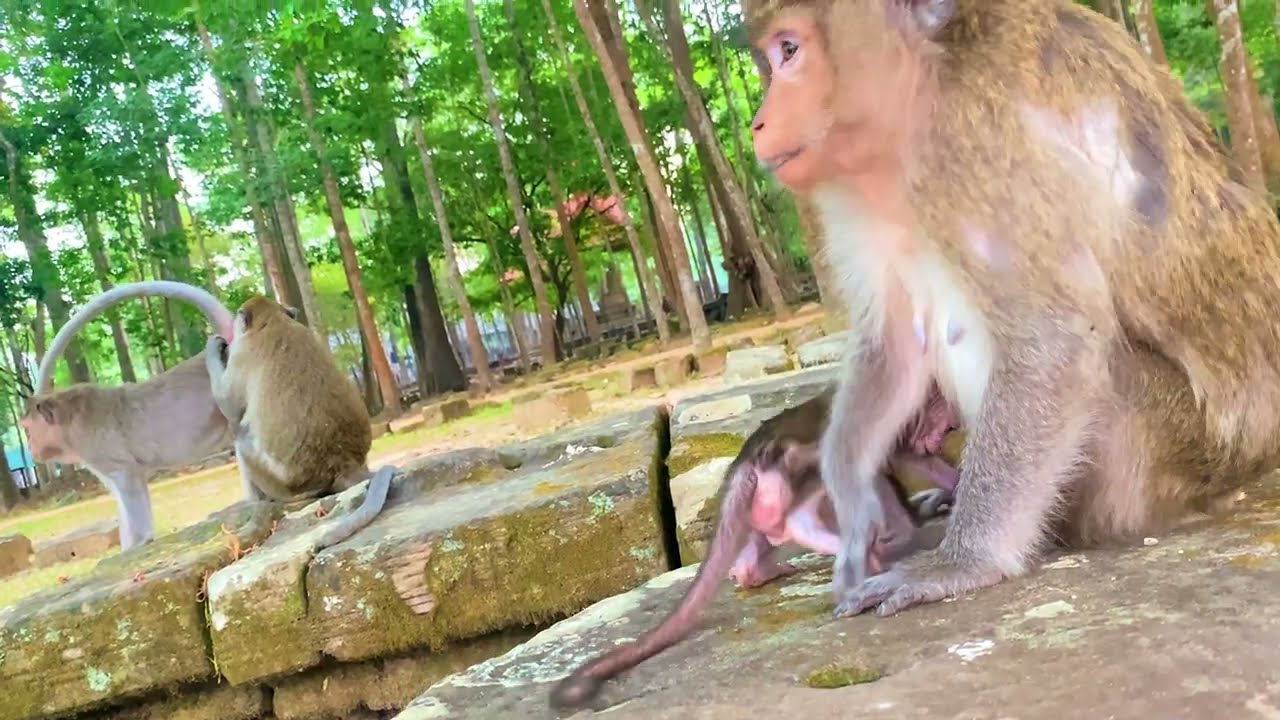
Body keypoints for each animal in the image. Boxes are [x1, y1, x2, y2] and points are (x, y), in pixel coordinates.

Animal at [206, 294, 397, 551]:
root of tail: (343, 464)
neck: (272, 320)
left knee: (243, 442)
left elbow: (227, 404)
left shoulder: (242, 355)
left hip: (282, 481)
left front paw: (213, 348)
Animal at [548, 385, 963, 710]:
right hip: (793, 464)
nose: (946, 431)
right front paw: (924, 512)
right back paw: (832, 534)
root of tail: (749, 457)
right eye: (943, 419)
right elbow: (901, 459)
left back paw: (755, 571)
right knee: (836, 472)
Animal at [745, 0, 1280, 620]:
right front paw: (854, 508)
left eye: (789, 51)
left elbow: (1055, 337)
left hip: (1176, 454)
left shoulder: (978, 138)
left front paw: (962, 562)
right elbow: (896, 340)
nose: (758, 123)